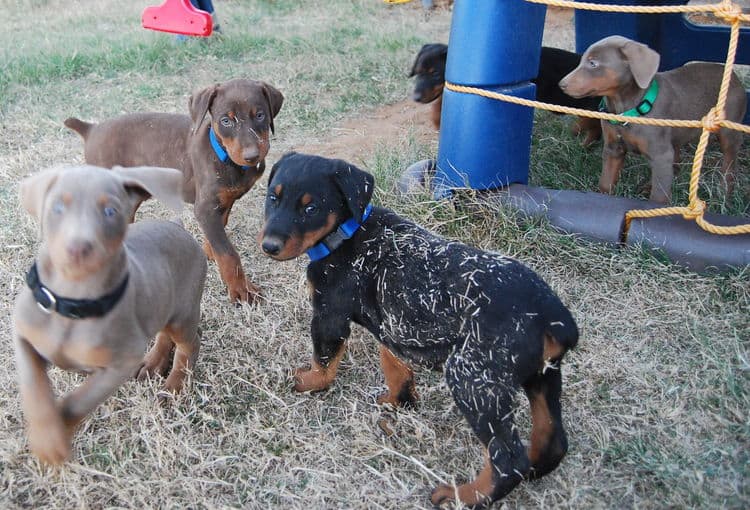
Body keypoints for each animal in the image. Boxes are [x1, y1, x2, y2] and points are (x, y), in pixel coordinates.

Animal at [14, 165, 207, 464]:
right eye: (57, 207)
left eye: (110, 211)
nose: (78, 248)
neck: (73, 303)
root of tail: (178, 226)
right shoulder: (23, 333)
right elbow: (34, 385)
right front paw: (46, 435)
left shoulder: (121, 362)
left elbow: (80, 400)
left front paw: (55, 440)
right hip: (161, 301)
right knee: (164, 334)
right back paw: (153, 363)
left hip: (183, 312)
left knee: (190, 344)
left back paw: (174, 385)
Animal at [65, 78, 284, 302]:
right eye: (226, 121)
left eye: (260, 115)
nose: (252, 156)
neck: (222, 153)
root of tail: (91, 129)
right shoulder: (205, 207)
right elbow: (228, 253)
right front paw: (241, 290)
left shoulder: (223, 201)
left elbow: (219, 230)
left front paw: (209, 251)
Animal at [258, 152, 580, 510]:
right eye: (273, 197)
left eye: (311, 208)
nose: (269, 246)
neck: (347, 234)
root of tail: (554, 316)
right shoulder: (393, 326)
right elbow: (394, 365)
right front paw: (397, 400)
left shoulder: (329, 314)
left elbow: (324, 361)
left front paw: (308, 382)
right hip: (543, 376)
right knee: (552, 439)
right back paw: (534, 472)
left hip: (474, 380)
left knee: (508, 459)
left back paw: (463, 496)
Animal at [560, 35, 748, 203]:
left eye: (593, 64)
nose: (561, 84)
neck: (626, 111)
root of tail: (733, 76)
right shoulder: (613, 149)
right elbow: (606, 182)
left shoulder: (660, 155)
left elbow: (659, 196)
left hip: (728, 130)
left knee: (730, 159)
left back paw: (725, 190)